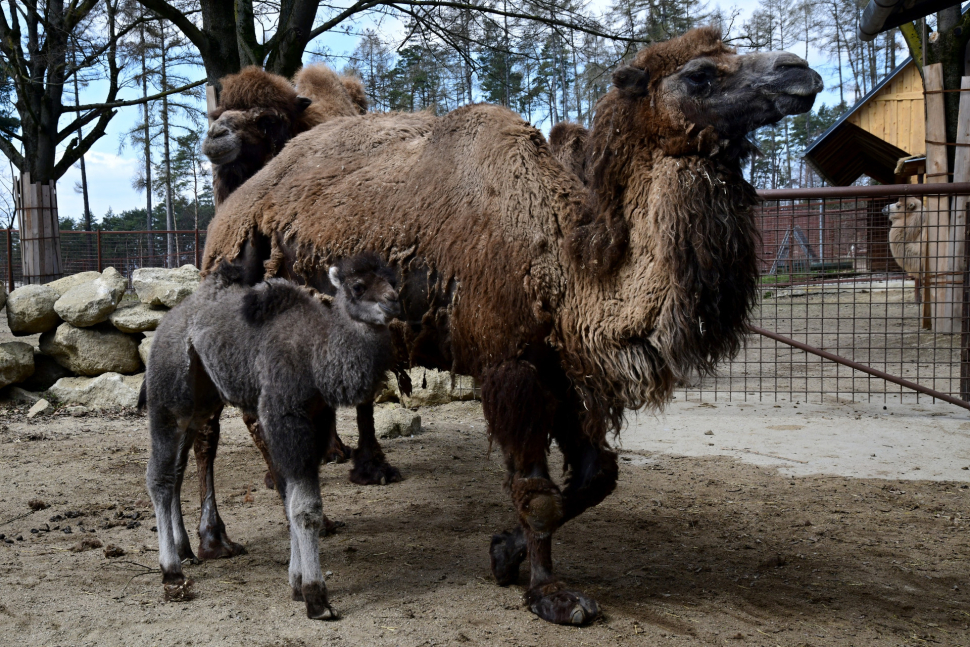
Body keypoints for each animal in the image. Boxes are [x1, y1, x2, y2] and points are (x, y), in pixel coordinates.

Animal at [141, 254, 398, 624]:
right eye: (358, 286)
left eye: (393, 279)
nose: (393, 301)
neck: (315, 354)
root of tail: (167, 322)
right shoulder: (285, 418)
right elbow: (304, 507)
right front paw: (316, 597)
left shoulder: (318, 421)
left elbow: (290, 498)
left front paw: (296, 582)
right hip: (168, 390)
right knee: (159, 476)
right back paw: (172, 575)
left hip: (202, 400)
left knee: (176, 470)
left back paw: (185, 550)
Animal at [193, 27, 820, 624]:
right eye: (700, 75)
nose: (801, 72)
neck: (563, 262)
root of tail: (223, 219)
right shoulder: (509, 365)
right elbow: (537, 491)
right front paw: (551, 595)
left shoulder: (559, 366)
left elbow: (596, 475)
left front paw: (503, 551)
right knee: (224, 425)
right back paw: (223, 537)